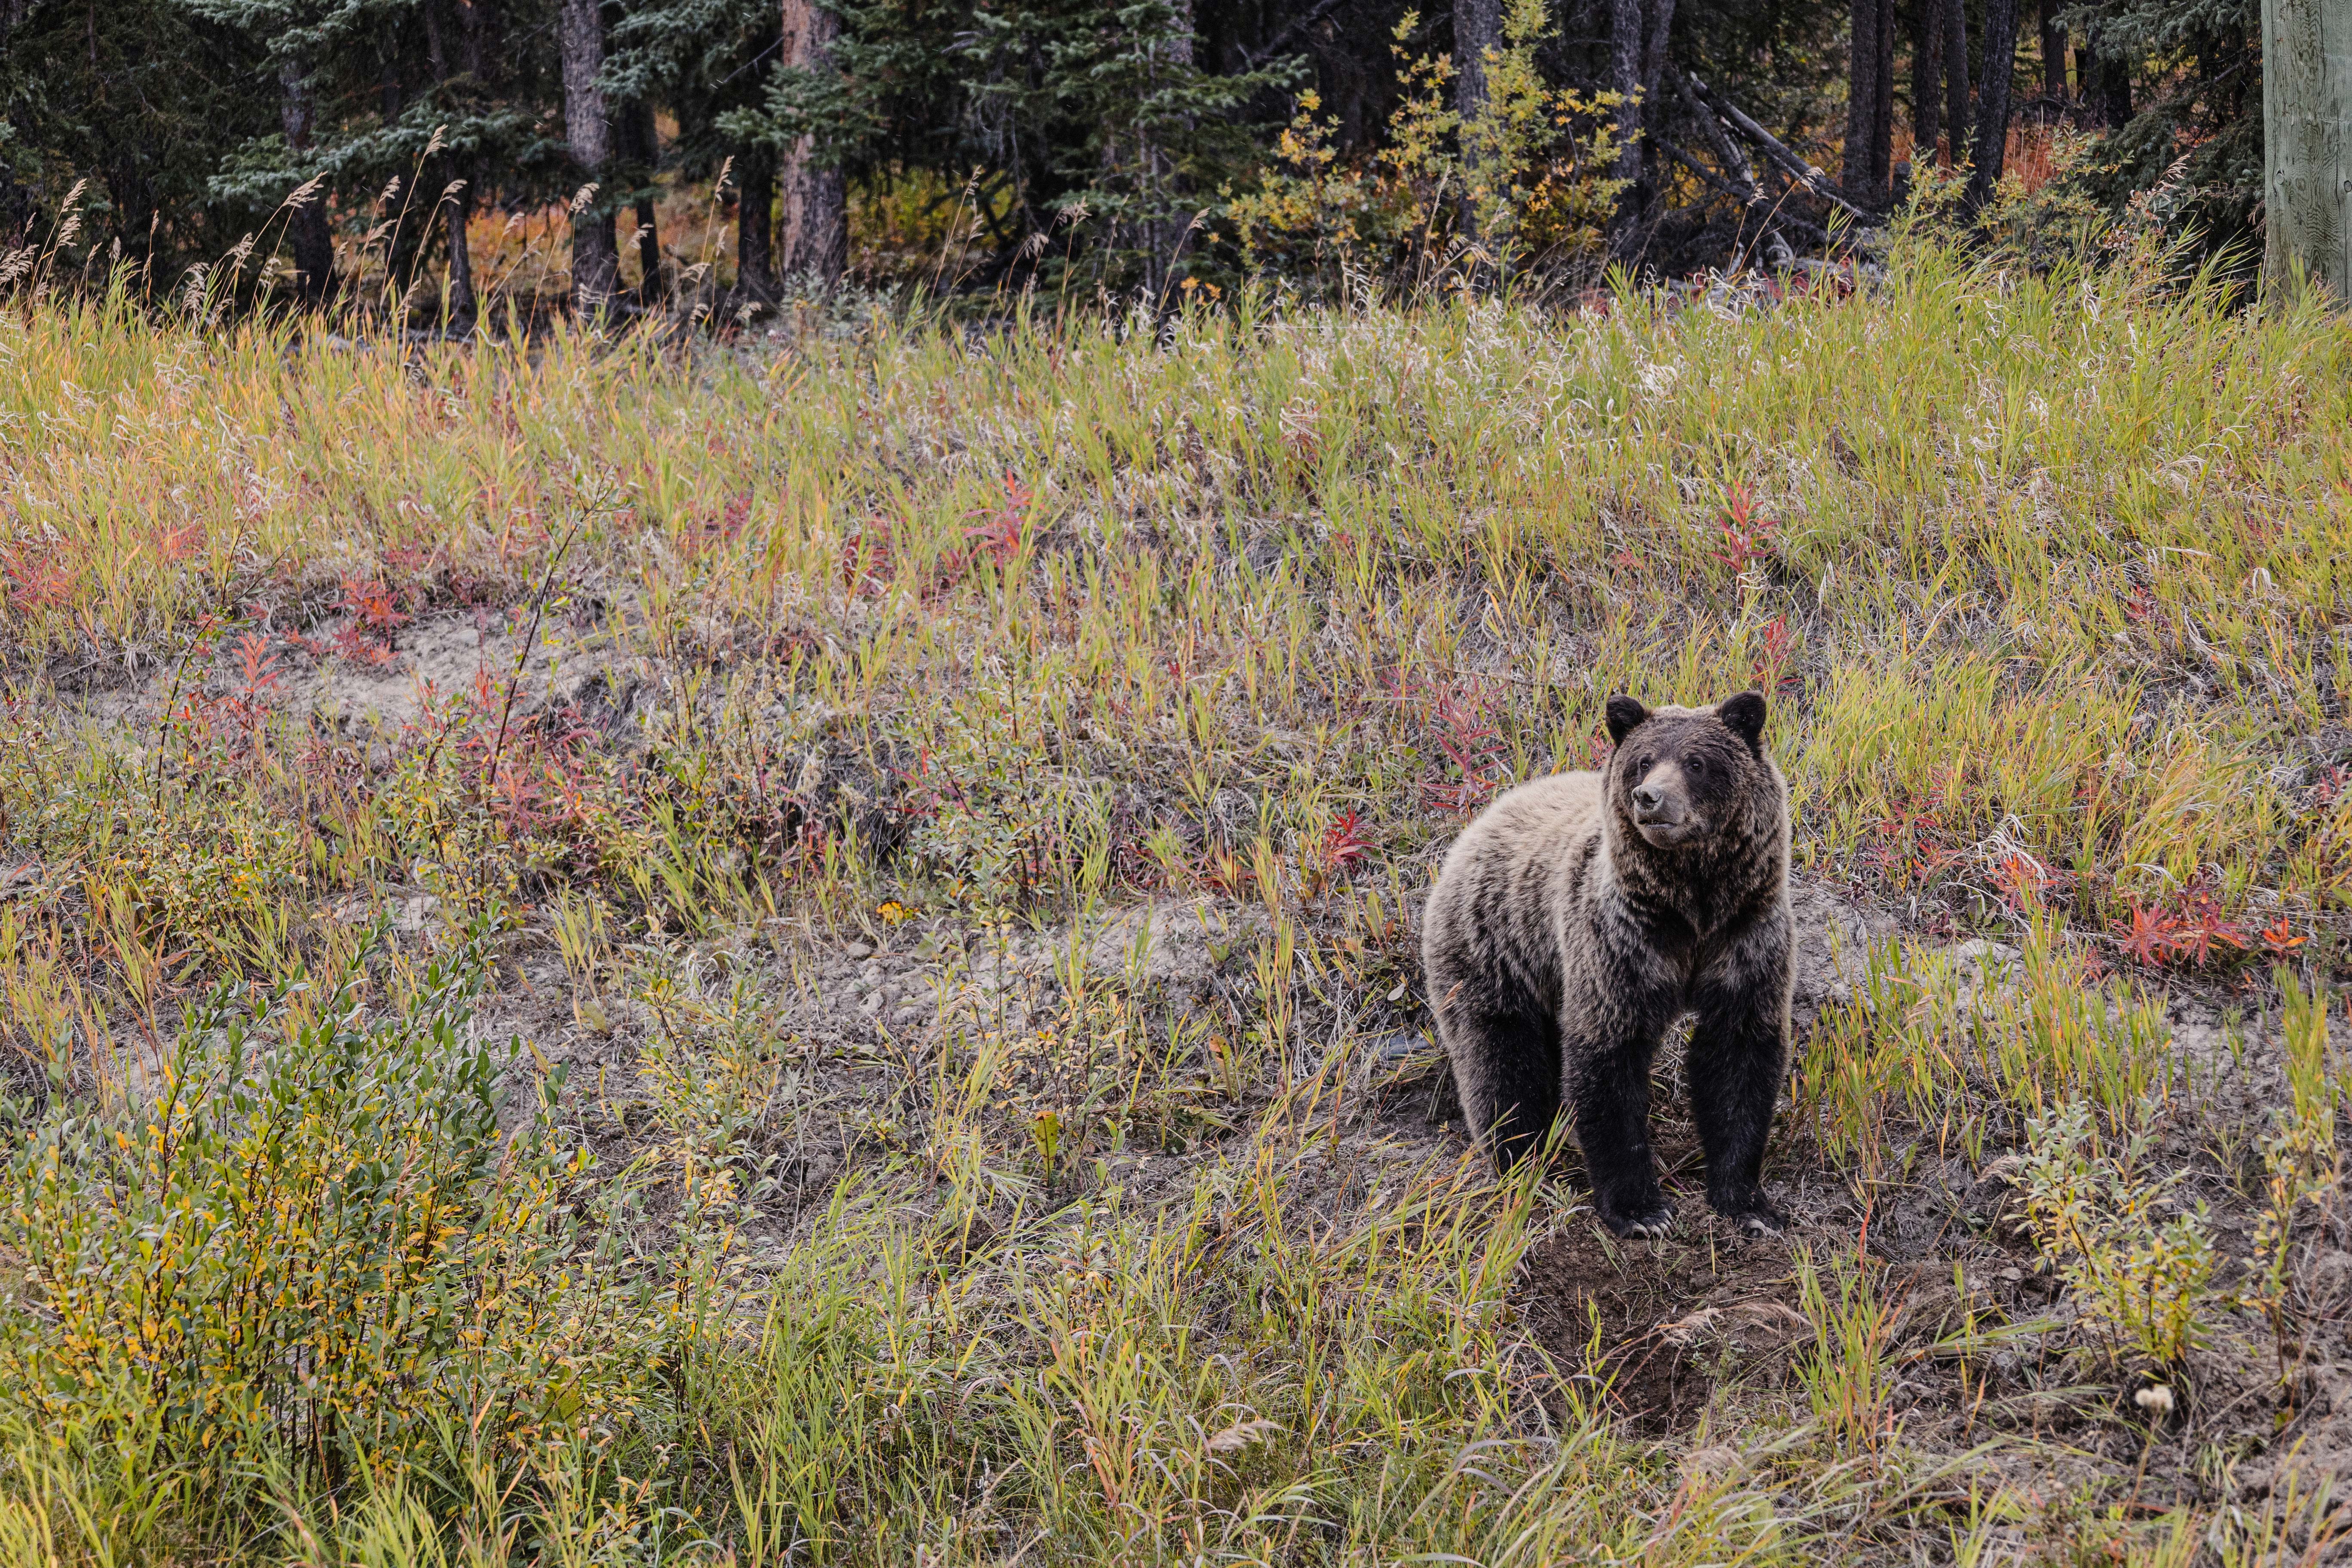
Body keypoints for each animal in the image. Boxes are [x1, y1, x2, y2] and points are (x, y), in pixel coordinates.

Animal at [1420, 690, 1792, 1238]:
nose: (1650, 797)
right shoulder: (1620, 945)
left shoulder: (1746, 939)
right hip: (1496, 946)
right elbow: (1607, 1062)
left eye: (1697, 762)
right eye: (1644, 760)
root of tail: (1484, 818)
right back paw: (1520, 1160)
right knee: (1500, 1060)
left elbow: (1738, 1059)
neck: (1691, 909)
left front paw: (1749, 1203)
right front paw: (1642, 1211)